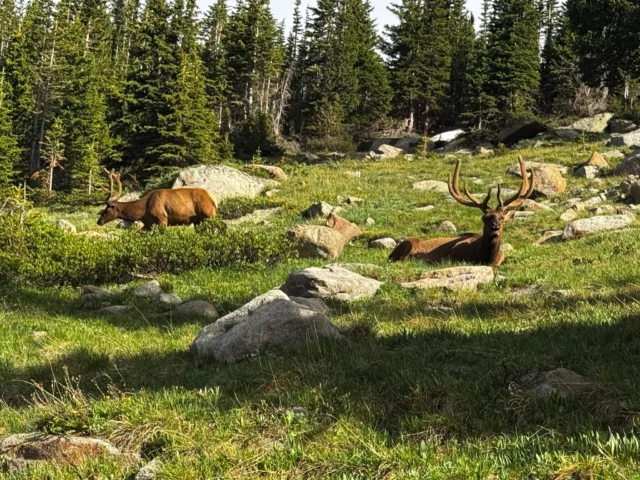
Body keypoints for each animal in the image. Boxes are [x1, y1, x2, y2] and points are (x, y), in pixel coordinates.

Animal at [389, 156, 535, 267]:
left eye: (502, 218)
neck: (485, 259)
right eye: (485, 218)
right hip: (406, 243)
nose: (495, 226)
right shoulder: (452, 256)